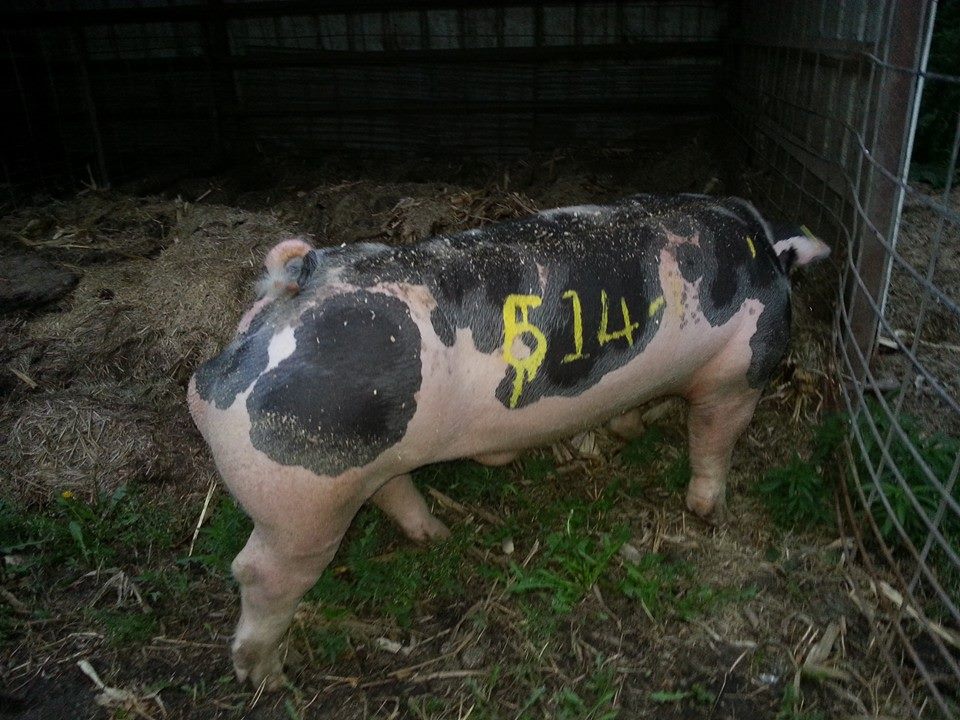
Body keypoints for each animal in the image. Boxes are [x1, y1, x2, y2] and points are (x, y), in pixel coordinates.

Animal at [187, 193, 830, 688]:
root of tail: (291, 290)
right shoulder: (737, 376)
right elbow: (714, 442)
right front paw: (708, 510)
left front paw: (628, 429)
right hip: (302, 495)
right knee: (258, 573)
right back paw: (268, 678)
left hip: (362, 463)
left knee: (392, 490)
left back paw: (437, 535)